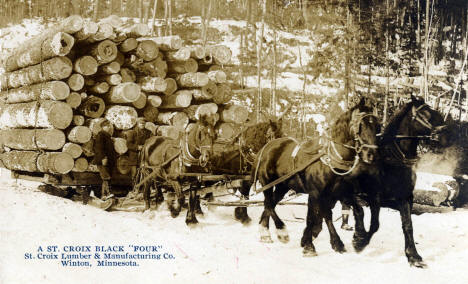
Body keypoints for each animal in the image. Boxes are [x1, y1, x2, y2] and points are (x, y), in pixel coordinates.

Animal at [252, 98, 380, 256]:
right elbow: (323, 216)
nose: (371, 154)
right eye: (360, 125)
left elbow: (357, 210)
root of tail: (266, 147)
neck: (331, 158)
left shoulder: (339, 193)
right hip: (266, 182)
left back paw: (265, 232)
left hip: (282, 186)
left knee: (270, 204)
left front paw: (359, 239)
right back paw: (281, 231)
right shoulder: (317, 193)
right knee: (269, 203)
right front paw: (324, 244)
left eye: (377, 126)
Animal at [344, 96, 450, 268]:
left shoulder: (405, 198)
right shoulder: (375, 198)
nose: (445, 135)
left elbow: (408, 225)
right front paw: (359, 242)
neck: (393, 160)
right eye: (426, 114)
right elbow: (374, 225)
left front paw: (413, 256)